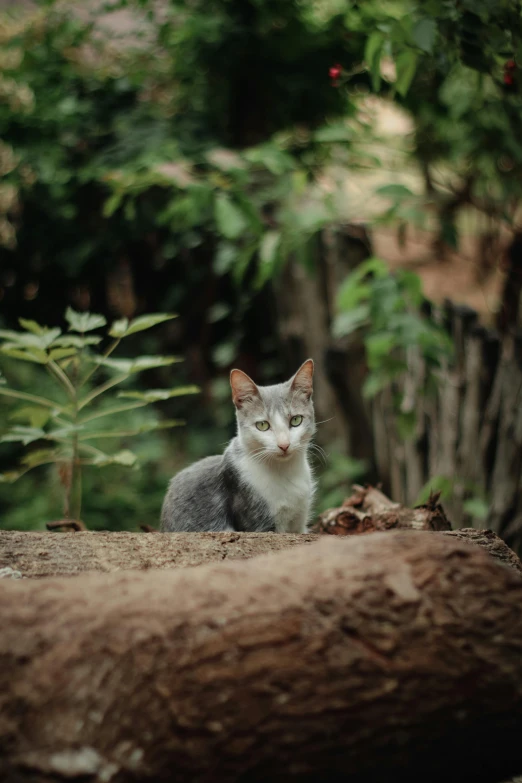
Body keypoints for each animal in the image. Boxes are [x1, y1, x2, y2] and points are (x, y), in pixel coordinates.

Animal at [158, 360, 314, 532]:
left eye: (296, 420)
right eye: (262, 425)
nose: (284, 445)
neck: (285, 472)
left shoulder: (299, 523)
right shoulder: (255, 518)